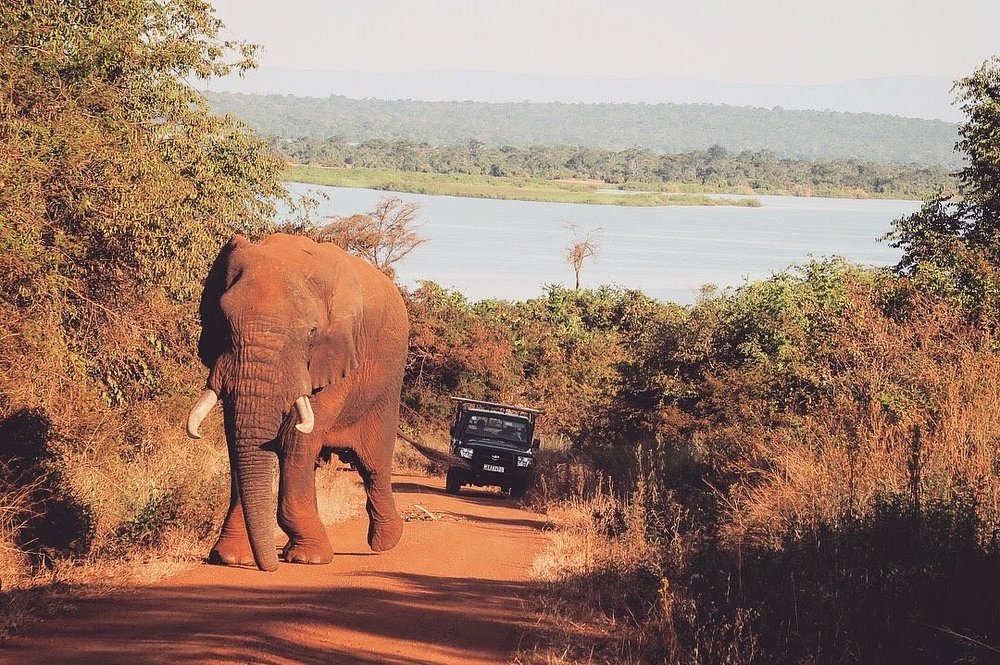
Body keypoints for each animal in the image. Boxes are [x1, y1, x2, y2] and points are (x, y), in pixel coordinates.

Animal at [186, 233, 408, 572]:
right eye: (222, 322)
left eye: (312, 332)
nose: (268, 568)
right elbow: (235, 437)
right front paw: (230, 558)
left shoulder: (337, 353)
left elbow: (297, 438)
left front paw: (310, 559)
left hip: (387, 384)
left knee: (374, 463)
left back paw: (386, 542)